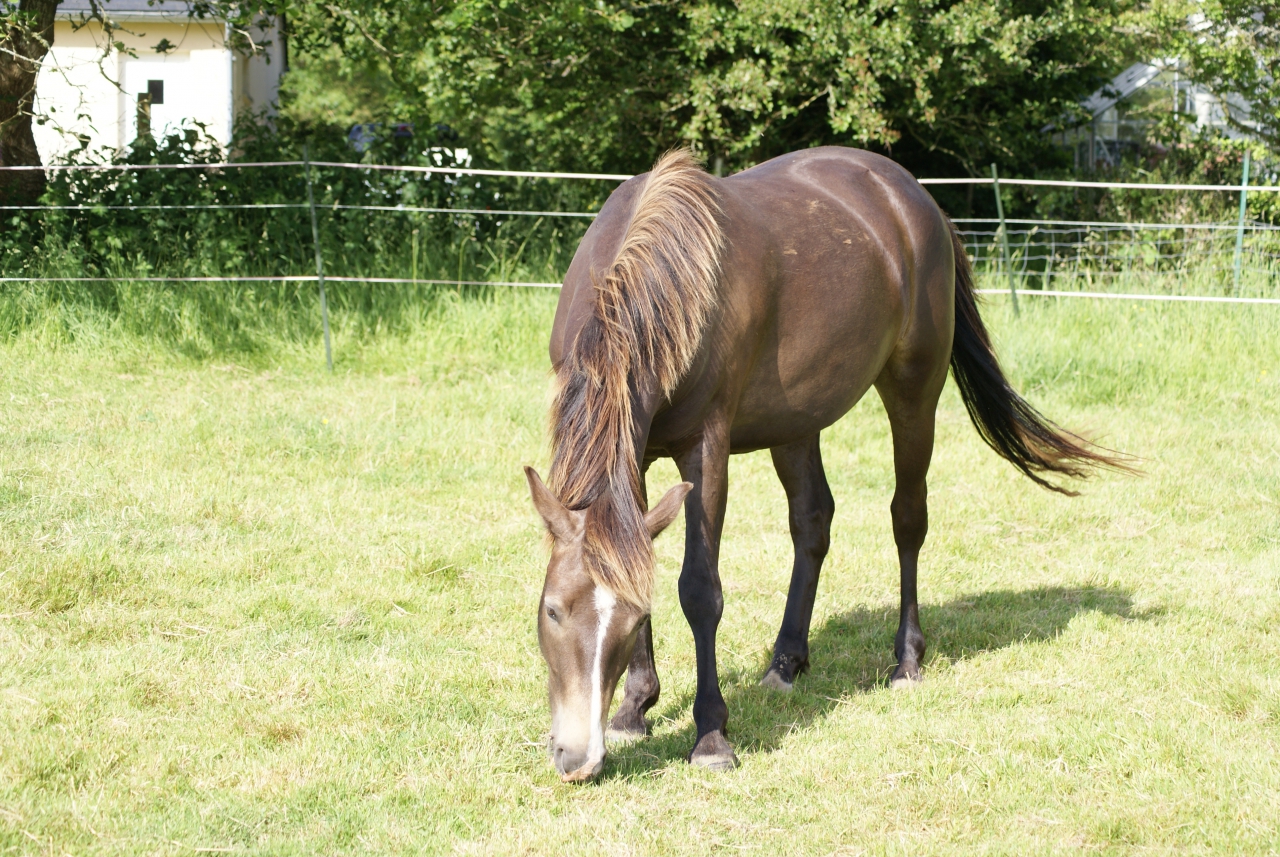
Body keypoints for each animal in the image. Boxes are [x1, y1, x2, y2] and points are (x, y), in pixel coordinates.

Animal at [524, 147, 1127, 782]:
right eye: (552, 611)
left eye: (628, 619)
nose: (578, 759)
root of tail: (915, 197)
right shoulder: (635, 456)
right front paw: (635, 709)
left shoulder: (706, 448)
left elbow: (699, 589)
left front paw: (711, 735)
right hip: (796, 423)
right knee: (813, 522)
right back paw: (786, 660)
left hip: (913, 392)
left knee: (907, 518)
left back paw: (906, 660)